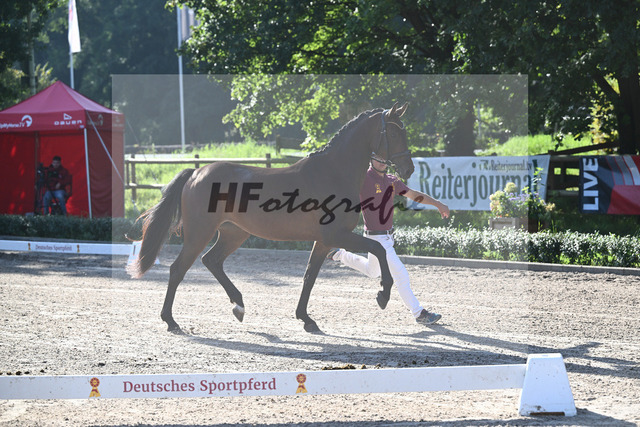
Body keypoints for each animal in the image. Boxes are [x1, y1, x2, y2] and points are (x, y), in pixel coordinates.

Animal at [127, 102, 415, 333]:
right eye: (394, 132)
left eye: (404, 130)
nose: (409, 168)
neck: (333, 172)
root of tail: (196, 173)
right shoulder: (336, 235)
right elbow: (378, 249)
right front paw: (383, 294)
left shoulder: (324, 241)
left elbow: (309, 276)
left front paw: (306, 319)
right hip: (200, 233)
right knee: (178, 269)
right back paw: (171, 321)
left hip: (234, 233)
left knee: (212, 261)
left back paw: (239, 306)